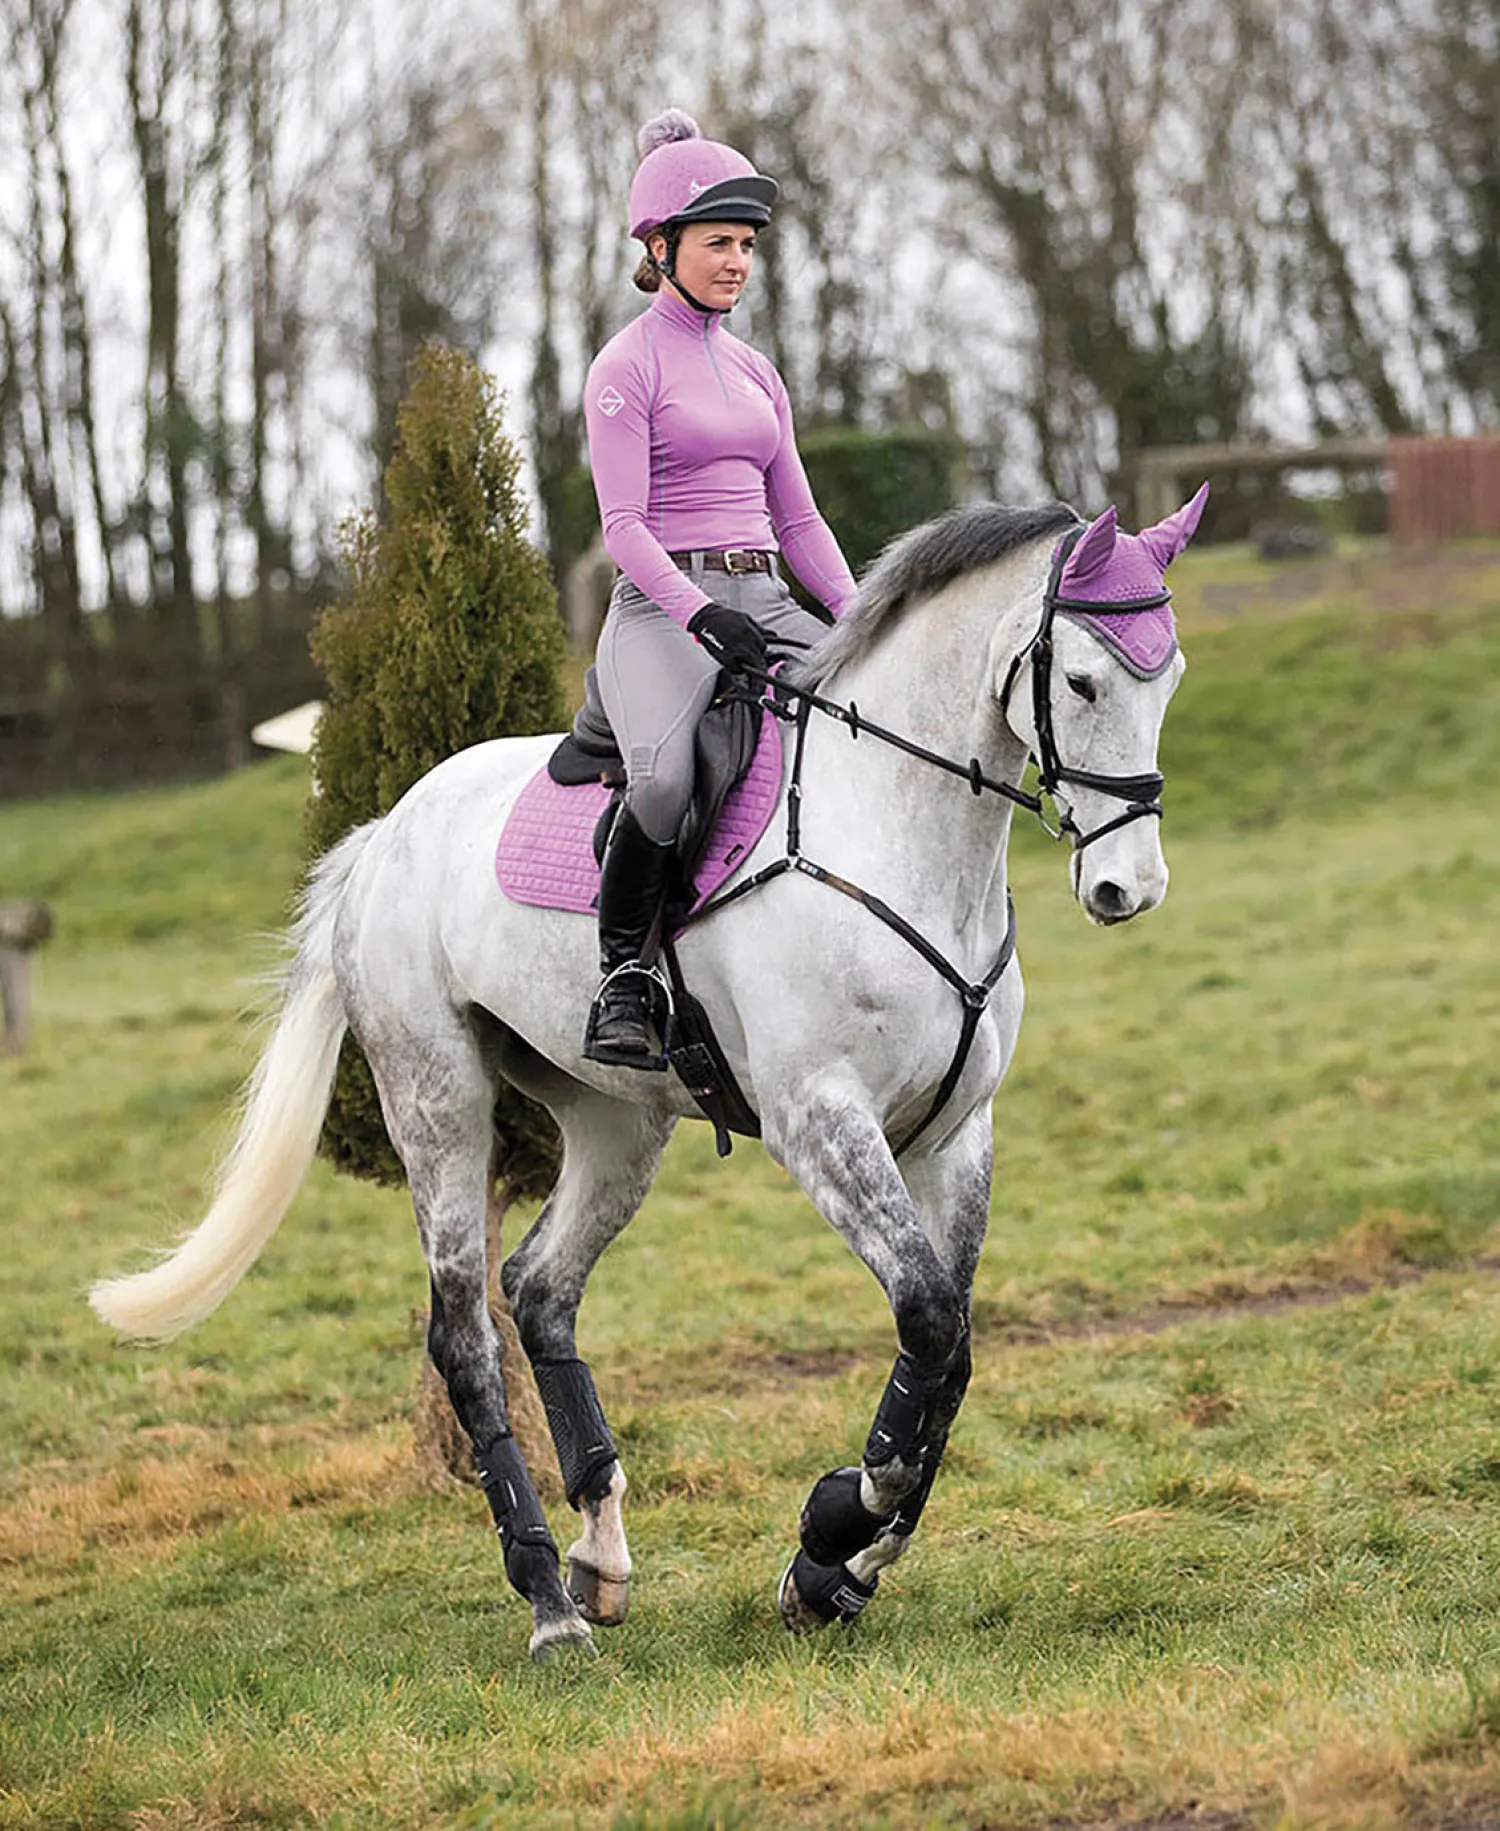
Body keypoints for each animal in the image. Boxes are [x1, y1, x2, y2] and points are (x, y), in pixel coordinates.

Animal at [90, 486, 1207, 1663]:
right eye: (1081, 681)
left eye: (1169, 676)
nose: (1128, 887)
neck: (893, 829)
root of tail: (385, 830)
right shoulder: (821, 1119)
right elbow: (929, 1320)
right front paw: (837, 1523)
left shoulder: (956, 1134)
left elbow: (947, 1355)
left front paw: (835, 1572)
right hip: (435, 1097)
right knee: (465, 1333)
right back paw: (547, 1600)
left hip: (615, 1122)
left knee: (541, 1287)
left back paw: (601, 1556)